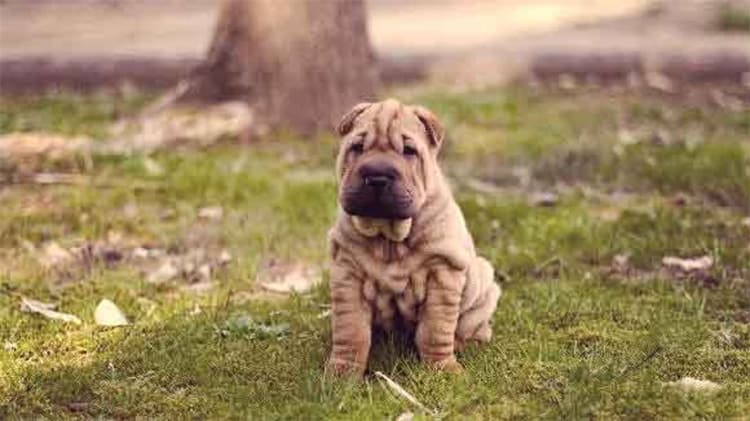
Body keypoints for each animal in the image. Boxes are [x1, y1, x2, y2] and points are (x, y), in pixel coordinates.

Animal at [328, 99, 506, 378]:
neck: (389, 239)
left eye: (409, 151)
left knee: (474, 325)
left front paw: (442, 369)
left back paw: (466, 343)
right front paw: (342, 373)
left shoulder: (442, 273)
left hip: (483, 282)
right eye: (357, 148)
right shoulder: (347, 273)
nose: (376, 176)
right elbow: (350, 331)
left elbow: (435, 330)